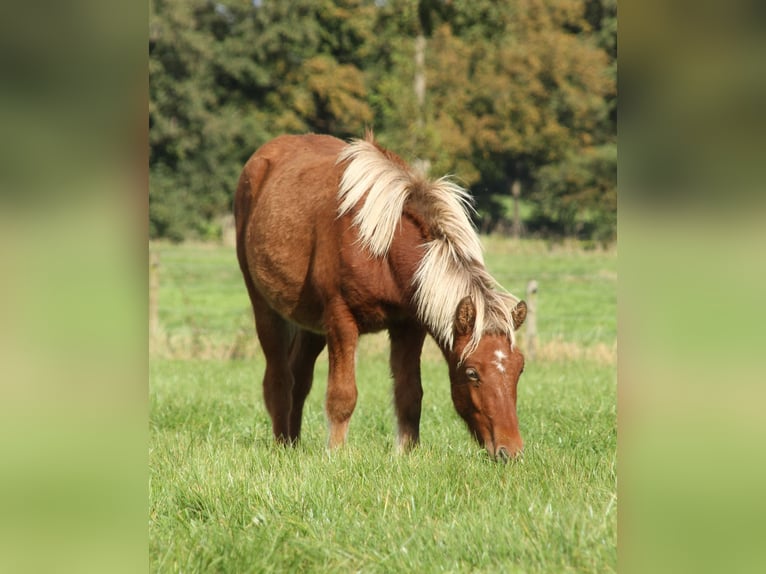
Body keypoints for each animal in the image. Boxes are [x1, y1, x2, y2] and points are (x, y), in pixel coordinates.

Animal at [236, 134, 528, 464]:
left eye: (520, 368)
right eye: (472, 372)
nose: (510, 451)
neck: (381, 248)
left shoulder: (409, 326)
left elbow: (410, 394)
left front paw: (407, 454)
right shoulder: (341, 321)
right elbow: (342, 396)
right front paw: (337, 454)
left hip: (312, 325)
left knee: (299, 379)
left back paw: (294, 443)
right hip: (266, 309)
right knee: (278, 379)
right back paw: (282, 445)